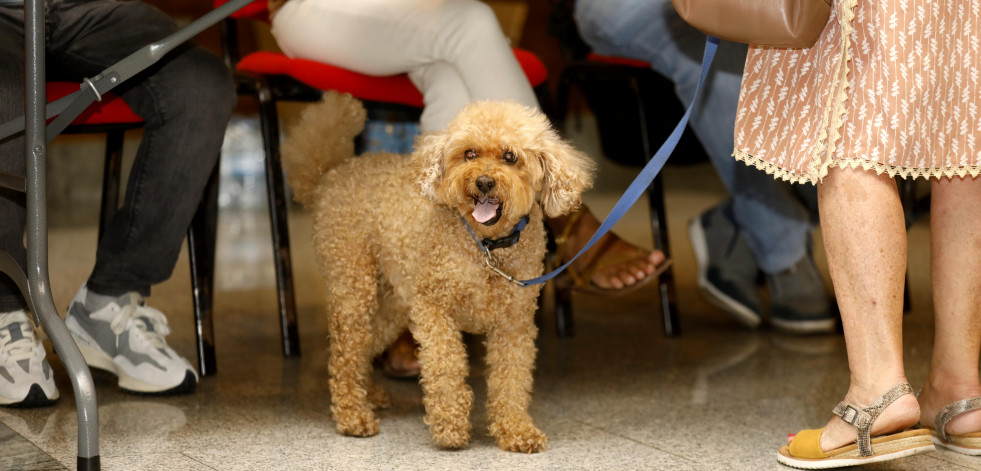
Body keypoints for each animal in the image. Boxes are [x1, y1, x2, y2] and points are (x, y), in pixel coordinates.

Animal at [280, 92, 592, 454]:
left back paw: (370, 394)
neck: (487, 246)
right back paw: (353, 416)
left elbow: (512, 378)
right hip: (353, 286)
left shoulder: (514, 323)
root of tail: (330, 172)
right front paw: (450, 426)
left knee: (366, 346)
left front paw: (516, 429)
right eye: (469, 153)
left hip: (392, 302)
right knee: (345, 355)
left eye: (510, 157)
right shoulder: (434, 309)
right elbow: (446, 366)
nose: (484, 182)